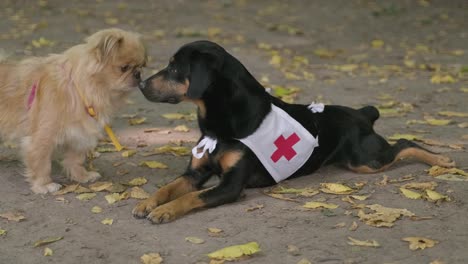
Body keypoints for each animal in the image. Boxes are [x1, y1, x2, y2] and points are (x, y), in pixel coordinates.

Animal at [0, 28, 146, 194]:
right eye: (124, 68)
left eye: (141, 66)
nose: (138, 74)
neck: (80, 88)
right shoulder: (42, 138)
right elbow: (42, 163)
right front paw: (44, 185)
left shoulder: (79, 134)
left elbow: (75, 159)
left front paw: (81, 176)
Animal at [133, 40, 456, 224]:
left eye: (175, 69)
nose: (140, 82)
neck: (219, 125)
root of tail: (361, 113)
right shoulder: (194, 174)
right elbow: (167, 188)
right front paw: (147, 203)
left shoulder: (230, 187)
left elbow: (191, 198)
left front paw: (164, 211)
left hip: (365, 160)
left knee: (404, 142)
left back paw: (441, 160)